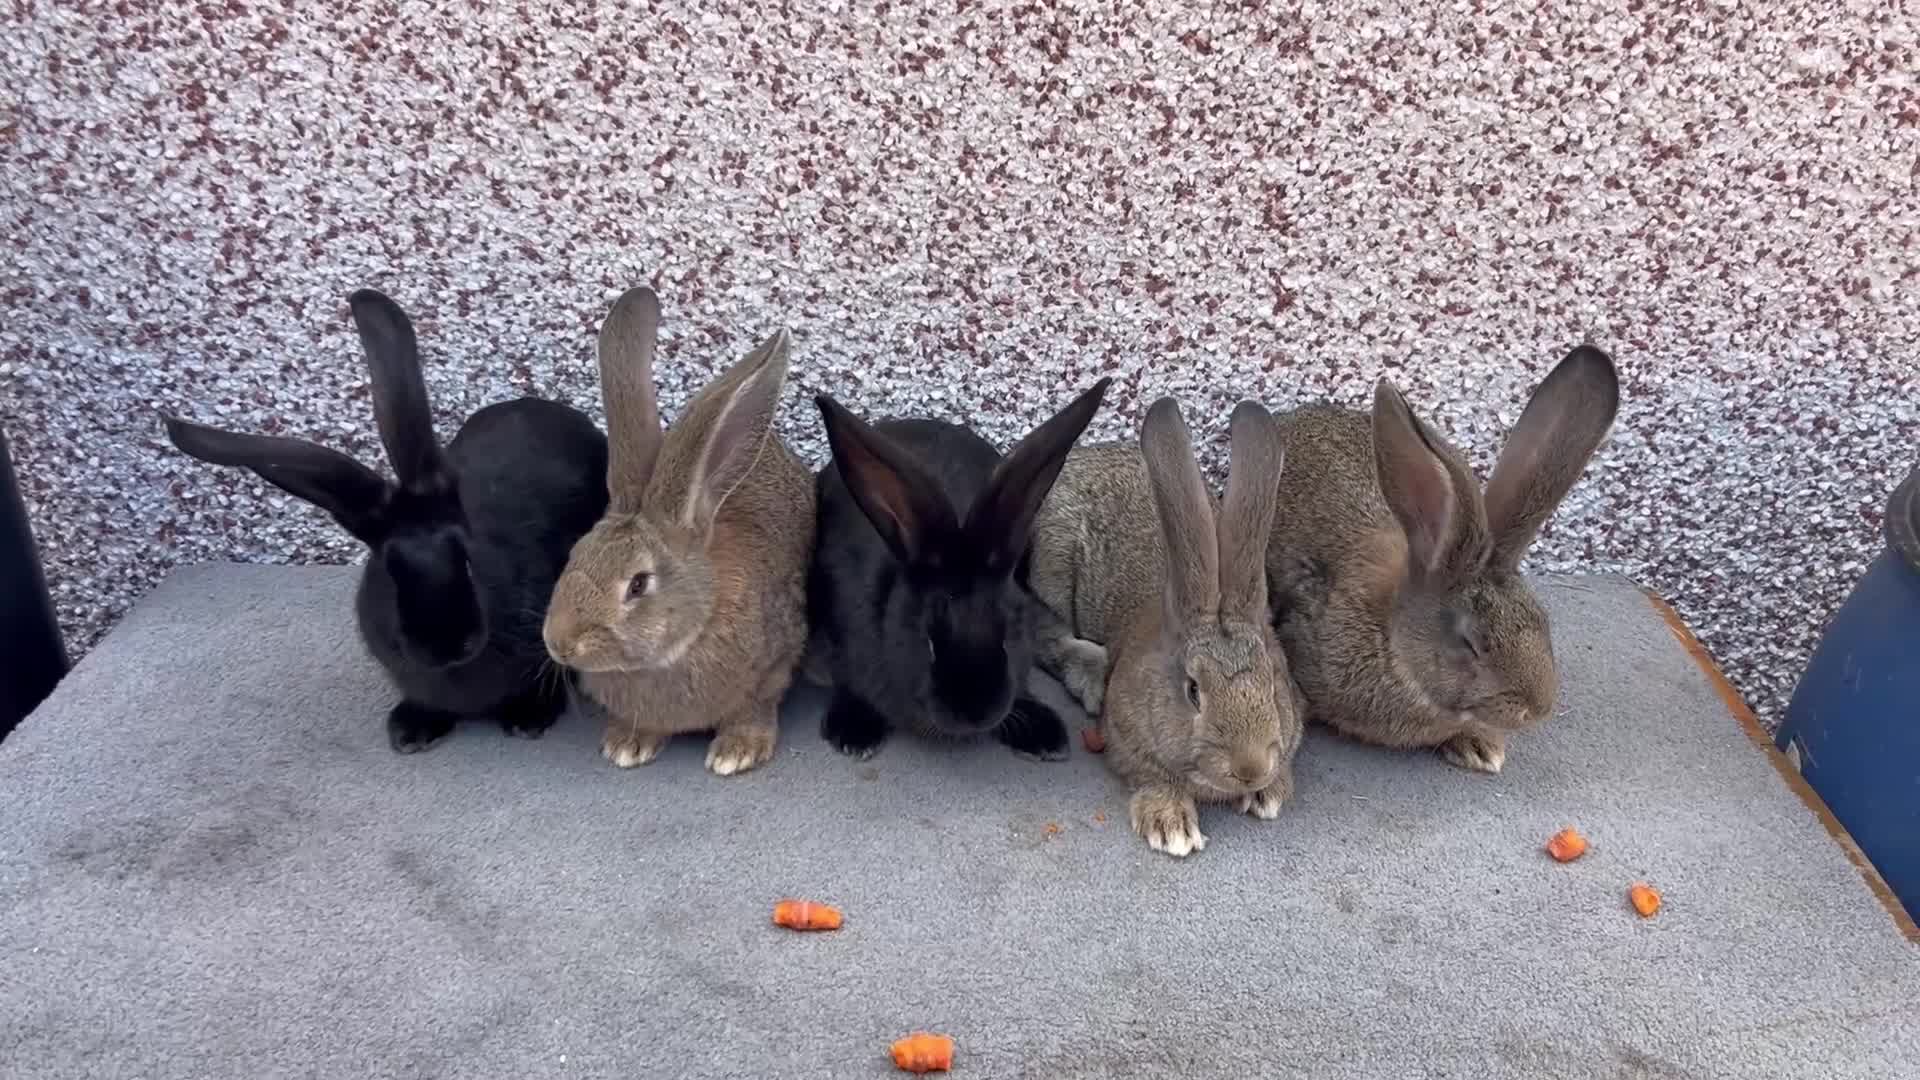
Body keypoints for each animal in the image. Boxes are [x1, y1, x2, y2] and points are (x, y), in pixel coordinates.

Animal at [541, 286, 815, 777]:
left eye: (637, 584)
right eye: (574, 555)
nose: (560, 645)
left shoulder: (774, 665)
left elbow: (754, 708)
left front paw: (737, 752)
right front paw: (626, 745)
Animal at [805, 377, 1112, 761]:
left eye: (1007, 639)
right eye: (929, 643)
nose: (976, 714)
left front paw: (1044, 734)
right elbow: (848, 680)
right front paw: (853, 732)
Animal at [1031, 398, 1303, 857]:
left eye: (1273, 684)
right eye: (1193, 691)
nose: (1250, 768)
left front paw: (1269, 794)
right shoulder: (1125, 740)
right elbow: (1152, 777)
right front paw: (1172, 826)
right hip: (1052, 567)